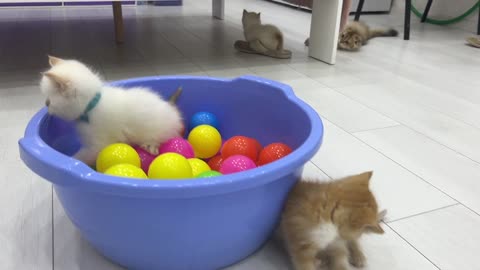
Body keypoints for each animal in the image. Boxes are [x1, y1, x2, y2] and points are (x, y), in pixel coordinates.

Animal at [40, 56, 184, 167]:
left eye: (48, 102)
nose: (46, 107)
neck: (92, 105)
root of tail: (172, 109)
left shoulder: (97, 145)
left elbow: (82, 156)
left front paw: (71, 160)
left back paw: (151, 145)